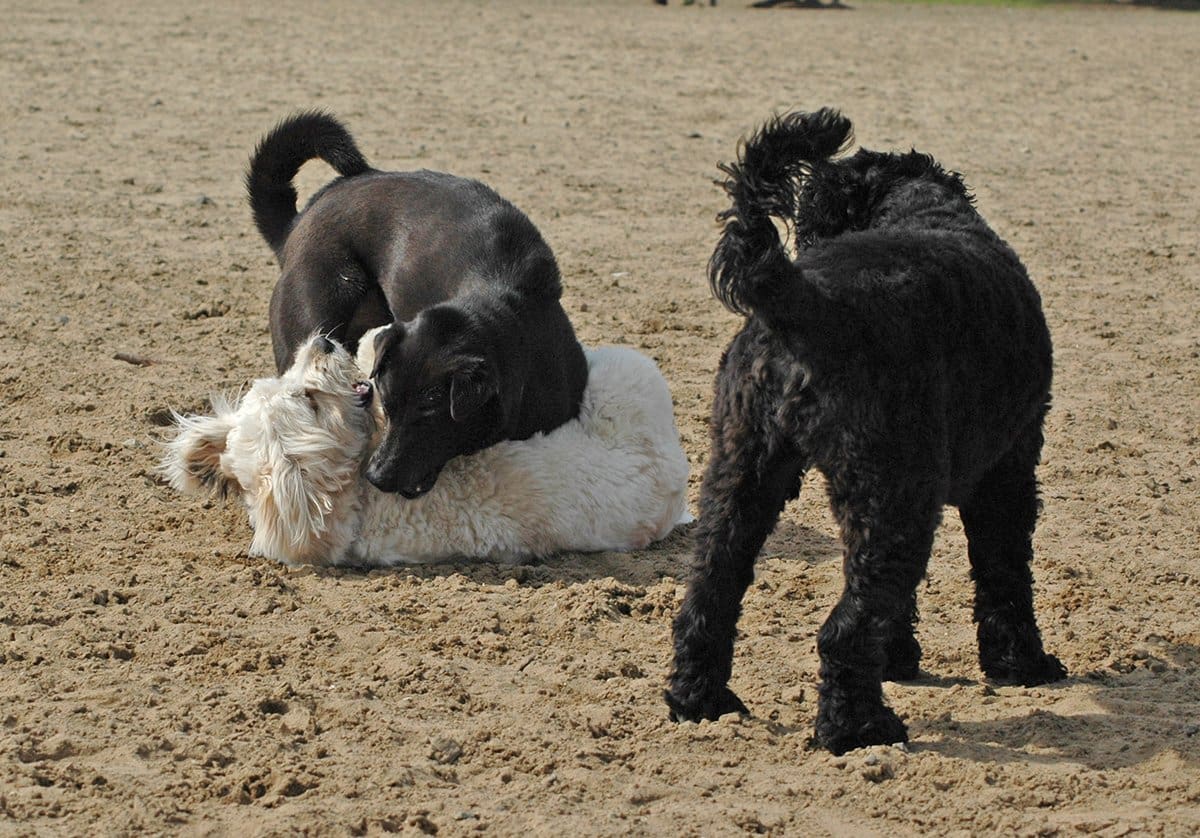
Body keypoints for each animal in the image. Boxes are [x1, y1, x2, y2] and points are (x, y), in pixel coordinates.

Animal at [160, 328, 691, 564]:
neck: (355, 500)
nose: (322, 344)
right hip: (634, 383)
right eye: (309, 399)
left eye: (292, 385)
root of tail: (674, 498)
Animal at [667, 107, 1070, 753]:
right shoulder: (1007, 470)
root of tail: (805, 301)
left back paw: (699, 700)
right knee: (844, 630)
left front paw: (900, 659)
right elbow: (1004, 572)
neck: (924, 211)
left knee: (710, 594)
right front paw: (1022, 664)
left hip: (742, 477)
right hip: (895, 498)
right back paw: (858, 730)